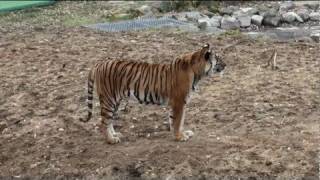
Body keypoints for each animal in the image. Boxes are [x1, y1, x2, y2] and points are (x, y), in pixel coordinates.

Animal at [79, 44, 225, 145]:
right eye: (218, 58)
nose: (226, 64)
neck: (197, 72)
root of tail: (100, 63)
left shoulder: (178, 102)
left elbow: (175, 120)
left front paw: (181, 133)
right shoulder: (179, 101)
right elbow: (178, 120)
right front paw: (179, 136)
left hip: (116, 100)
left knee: (109, 121)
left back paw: (115, 135)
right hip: (109, 99)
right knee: (103, 122)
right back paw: (110, 140)